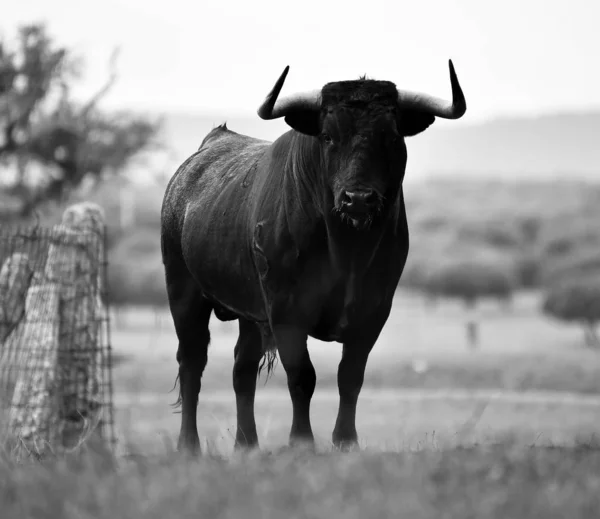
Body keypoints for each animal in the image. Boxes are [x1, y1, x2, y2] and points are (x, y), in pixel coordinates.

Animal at [161, 59, 468, 452]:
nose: (358, 198)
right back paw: (189, 445)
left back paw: (247, 444)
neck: (346, 253)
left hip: (249, 312)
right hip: (184, 293)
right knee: (192, 363)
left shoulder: (373, 311)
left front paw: (346, 441)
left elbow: (350, 376)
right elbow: (302, 376)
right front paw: (302, 442)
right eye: (328, 136)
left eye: (390, 136)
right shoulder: (287, 312)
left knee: (242, 369)